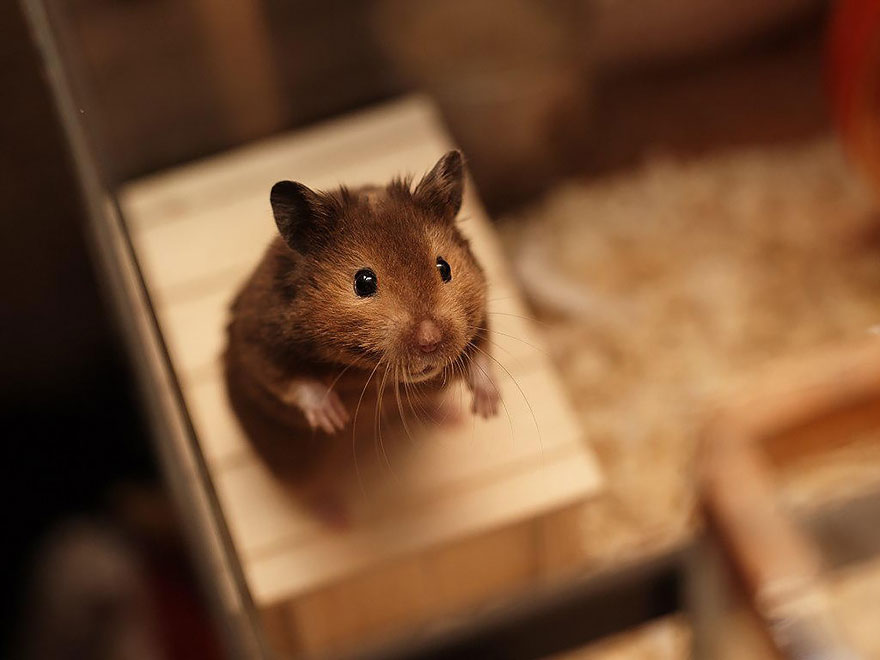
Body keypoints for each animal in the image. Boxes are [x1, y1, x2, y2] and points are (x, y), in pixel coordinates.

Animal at [223, 151, 500, 480]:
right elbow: (288, 380)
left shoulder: (480, 310)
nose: (430, 341)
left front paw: (488, 409)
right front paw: (334, 419)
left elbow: (481, 352)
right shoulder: (258, 339)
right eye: (364, 282)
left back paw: (455, 418)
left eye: (444, 267)